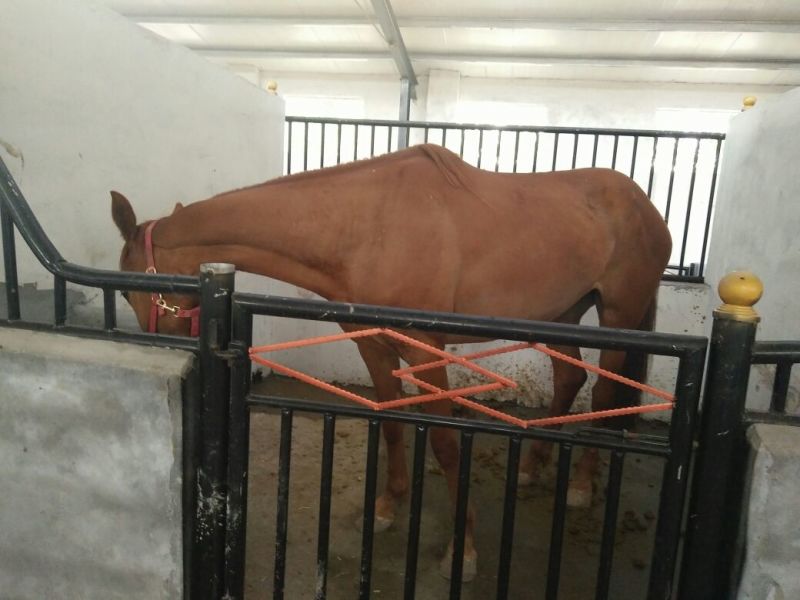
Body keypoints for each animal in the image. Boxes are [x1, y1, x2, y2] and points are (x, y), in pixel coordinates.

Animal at [110, 143, 671, 581]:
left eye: (140, 289)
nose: (157, 358)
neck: (365, 227)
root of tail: (643, 204)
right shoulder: (374, 347)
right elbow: (392, 421)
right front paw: (387, 505)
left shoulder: (425, 350)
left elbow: (445, 444)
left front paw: (463, 549)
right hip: (564, 314)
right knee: (569, 377)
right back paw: (534, 468)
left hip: (618, 314)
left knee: (605, 392)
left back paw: (581, 485)